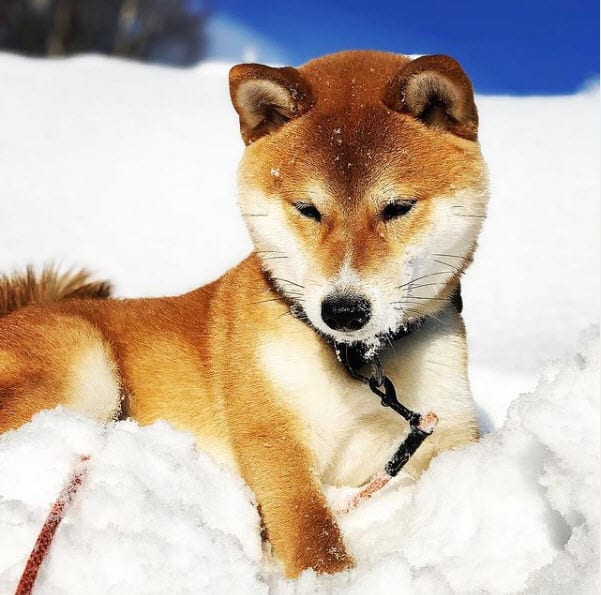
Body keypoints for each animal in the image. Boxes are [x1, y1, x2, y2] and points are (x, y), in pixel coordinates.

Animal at [0, 51, 488, 576]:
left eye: (397, 207)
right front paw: (331, 579)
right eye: (308, 209)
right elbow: (312, 531)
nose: (344, 310)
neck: (359, 363)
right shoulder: (273, 437)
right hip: (85, 368)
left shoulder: (446, 428)